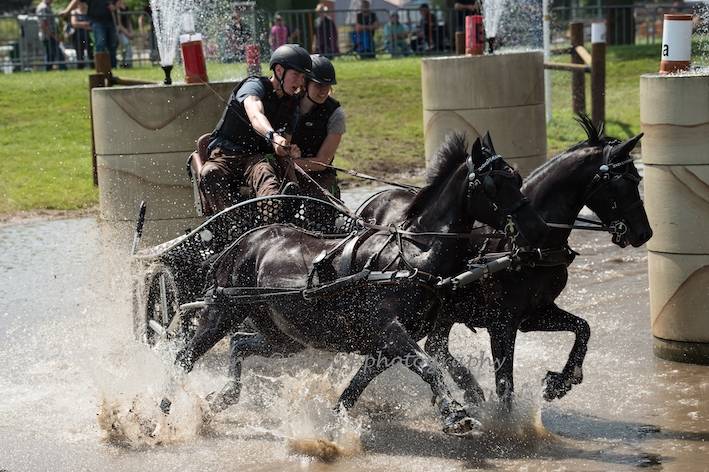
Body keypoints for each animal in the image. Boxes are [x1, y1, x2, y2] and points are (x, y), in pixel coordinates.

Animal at [159, 133, 549, 435]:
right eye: (496, 183)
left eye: (516, 175)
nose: (537, 230)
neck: (411, 256)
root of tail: (239, 242)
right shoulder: (390, 331)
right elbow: (429, 366)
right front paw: (455, 416)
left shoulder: (384, 344)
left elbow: (359, 384)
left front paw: (335, 420)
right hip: (221, 311)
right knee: (183, 357)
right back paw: (162, 410)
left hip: (283, 336)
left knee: (240, 343)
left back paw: (223, 396)